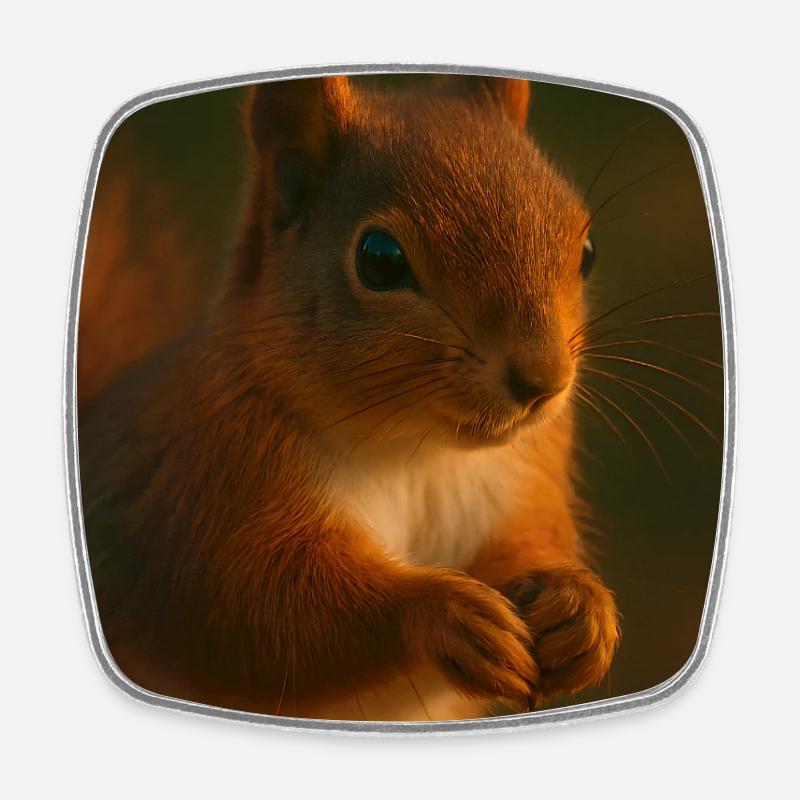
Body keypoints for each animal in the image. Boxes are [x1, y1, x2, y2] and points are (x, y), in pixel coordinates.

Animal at [79, 74, 620, 721]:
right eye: (379, 260)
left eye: (587, 250)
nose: (544, 382)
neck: (415, 450)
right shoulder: (209, 488)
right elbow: (257, 615)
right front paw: (444, 613)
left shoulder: (524, 478)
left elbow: (530, 542)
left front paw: (580, 607)